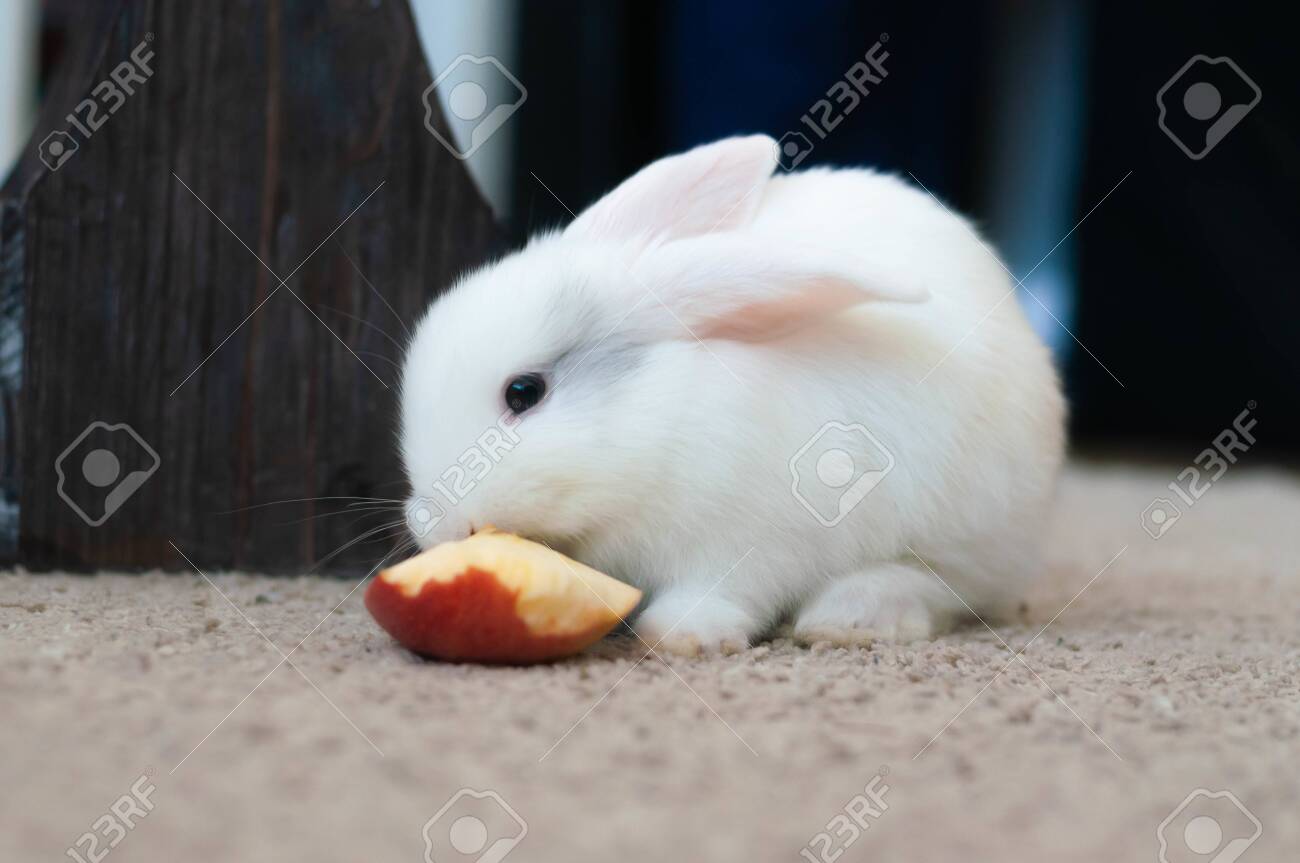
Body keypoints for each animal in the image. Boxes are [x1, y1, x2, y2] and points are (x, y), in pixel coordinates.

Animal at [397, 134, 1065, 656]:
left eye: (524, 393)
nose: (438, 525)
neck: (660, 417)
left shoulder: (751, 544)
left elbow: (719, 591)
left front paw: (684, 636)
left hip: (968, 530)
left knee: (940, 589)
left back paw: (849, 619)